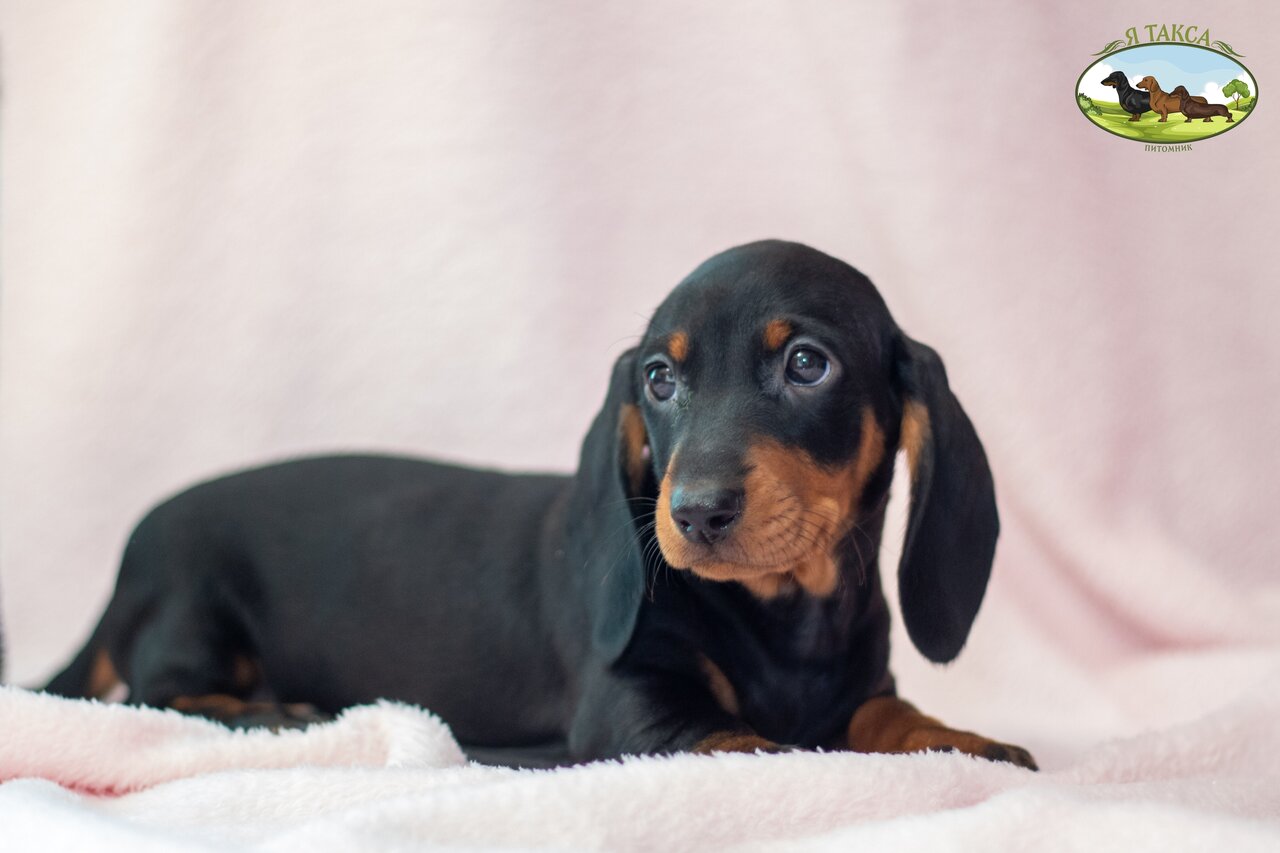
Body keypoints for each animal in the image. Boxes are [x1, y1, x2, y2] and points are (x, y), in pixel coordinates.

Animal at [46, 240, 1036, 770]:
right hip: (195, 610)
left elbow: (887, 717)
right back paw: (271, 711)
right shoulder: (639, 711)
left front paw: (963, 741)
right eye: (659, 377)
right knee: (159, 694)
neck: (784, 614)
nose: (696, 513)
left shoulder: (861, 688)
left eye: (807, 364)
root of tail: (130, 553)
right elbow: (760, 743)